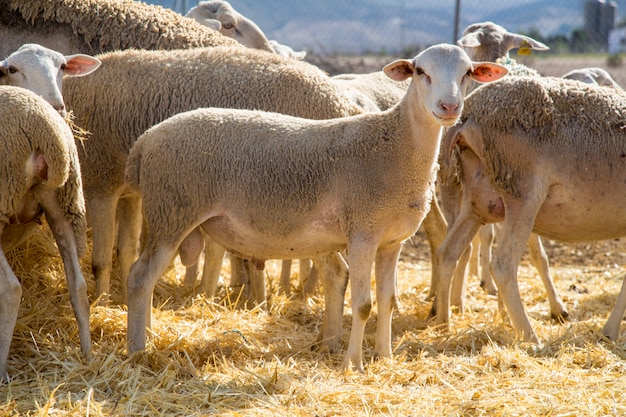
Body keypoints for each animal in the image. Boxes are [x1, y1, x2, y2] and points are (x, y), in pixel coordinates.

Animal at [57, 46, 366, 306]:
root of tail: (346, 103)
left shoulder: (101, 184)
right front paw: (120, 298)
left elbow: (100, 259)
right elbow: (126, 249)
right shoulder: (128, 194)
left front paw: (100, 303)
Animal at [122, 44, 508, 370]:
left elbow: (386, 301)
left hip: (168, 213)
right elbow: (363, 305)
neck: (394, 148)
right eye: (420, 71)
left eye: (468, 73)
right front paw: (354, 364)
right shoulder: (362, 233)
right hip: (173, 210)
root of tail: (146, 140)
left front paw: (384, 358)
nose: (449, 108)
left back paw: (150, 336)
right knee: (140, 278)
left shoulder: (391, 241)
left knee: (148, 279)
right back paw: (138, 349)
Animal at [432, 76, 624, 342]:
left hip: (478, 200)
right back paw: (531, 337)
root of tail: (469, 112)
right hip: (523, 194)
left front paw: (609, 332)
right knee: (502, 265)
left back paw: (443, 326)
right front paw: (609, 331)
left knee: (448, 253)